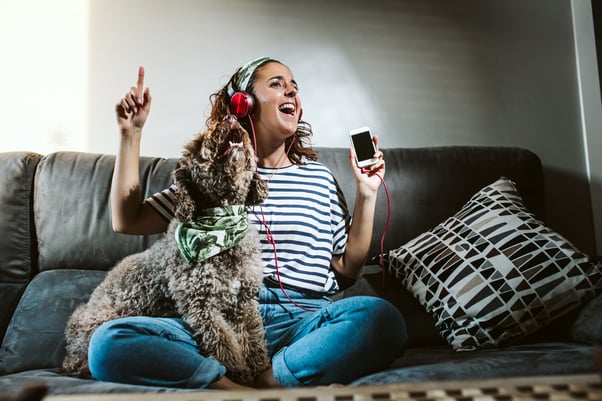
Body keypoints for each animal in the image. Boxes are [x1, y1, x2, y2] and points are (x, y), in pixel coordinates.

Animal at [61, 113, 268, 384]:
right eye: (199, 142)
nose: (231, 118)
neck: (223, 226)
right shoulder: (201, 305)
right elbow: (224, 343)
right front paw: (239, 374)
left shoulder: (243, 300)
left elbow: (253, 339)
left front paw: (259, 369)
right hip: (101, 319)